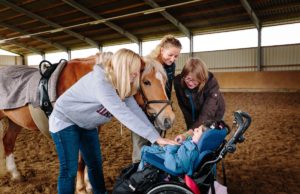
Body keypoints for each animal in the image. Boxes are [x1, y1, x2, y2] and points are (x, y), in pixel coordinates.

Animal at [0, 52, 176, 193]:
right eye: (146, 82)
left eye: (165, 81)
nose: (169, 119)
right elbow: (79, 161)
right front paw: (80, 188)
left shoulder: (92, 127)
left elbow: (86, 158)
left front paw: (89, 184)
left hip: (14, 122)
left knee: (8, 141)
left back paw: (15, 174)